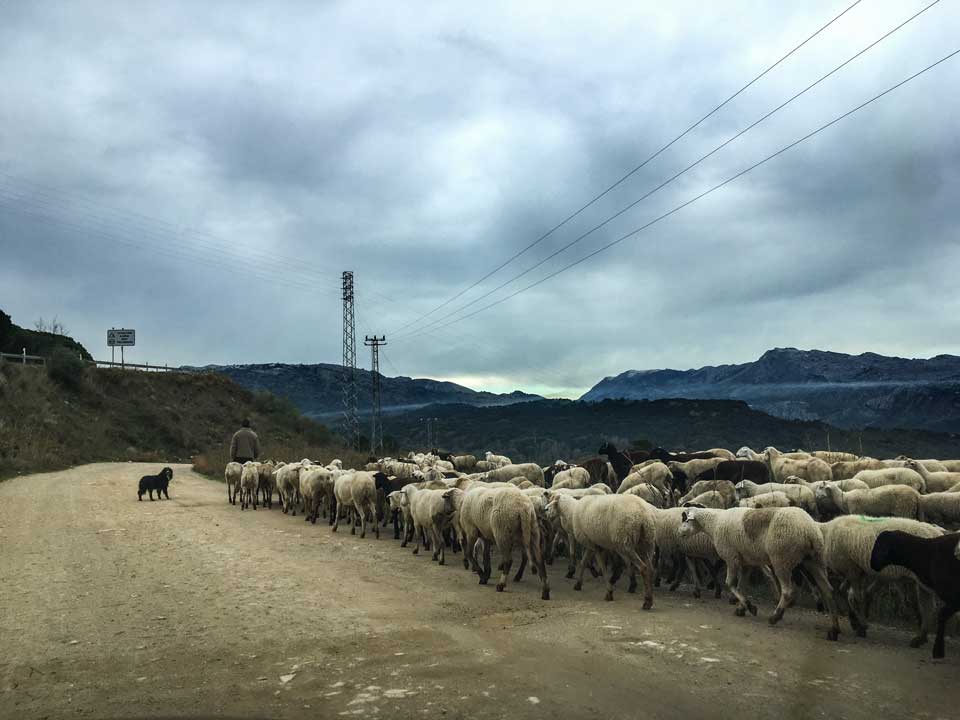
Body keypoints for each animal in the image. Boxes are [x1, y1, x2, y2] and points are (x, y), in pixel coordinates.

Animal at [676, 506, 840, 640]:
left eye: (685, 519)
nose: (678, 532)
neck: (714, 522)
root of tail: (809, 530)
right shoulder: (746, 562)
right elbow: (741, 586)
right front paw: (741, 609)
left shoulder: (732, 557)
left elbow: (730, 584)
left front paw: (750, 607)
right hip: (815, 560)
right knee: (828, 590)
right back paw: (834, 630)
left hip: (782, 559)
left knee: (788, 591)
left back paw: (775, 616)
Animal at [872, 528, 960, 660]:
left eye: (879, 545)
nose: (872, 563)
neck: (927, 554)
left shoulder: (955, 598)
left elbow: (941, 616)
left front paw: (937, 650)